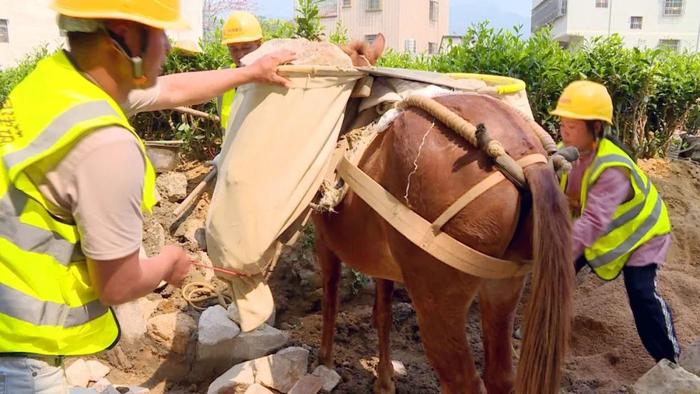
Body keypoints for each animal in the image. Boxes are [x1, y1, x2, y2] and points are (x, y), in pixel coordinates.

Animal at [314, 35, 576, 392]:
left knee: (464, 380)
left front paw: (325, 364)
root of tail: (525, 160)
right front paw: (385, 379)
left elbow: (330, 299)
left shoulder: (325, 241)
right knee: (500, 375)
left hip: (437, 298)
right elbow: (382, 312)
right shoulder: (384, 260)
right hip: (504, 286)